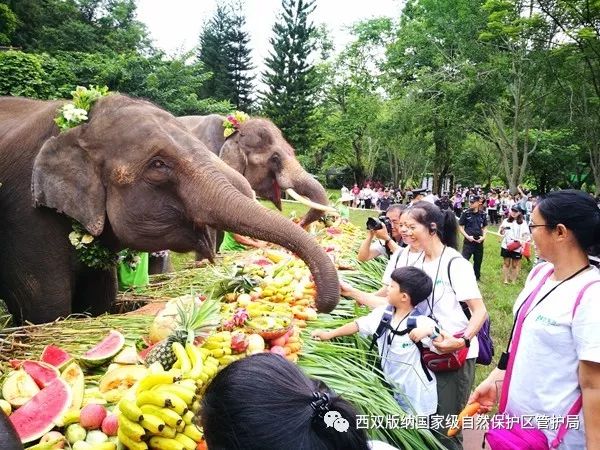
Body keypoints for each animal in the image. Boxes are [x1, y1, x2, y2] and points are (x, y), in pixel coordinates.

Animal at [0, 96, 340, 326]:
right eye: (158, 164)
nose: (318, 303)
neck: (80, 127)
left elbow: (99, 302)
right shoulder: (27, 217)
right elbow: (46, 309)